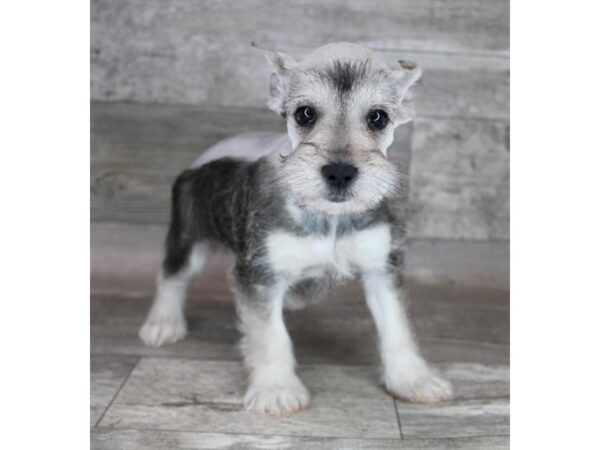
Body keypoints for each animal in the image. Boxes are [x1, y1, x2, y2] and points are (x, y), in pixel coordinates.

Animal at [139, 41, 450, 414]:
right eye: (304, 114)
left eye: (378, 117)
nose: (340, 173)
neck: (329, 216)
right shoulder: (261, 275)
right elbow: (270, 335)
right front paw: (277, 390)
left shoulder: (381, 269)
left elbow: (396, 327)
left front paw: (413, 380)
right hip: (190, 236)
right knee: (172, 276)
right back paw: (162, 323)